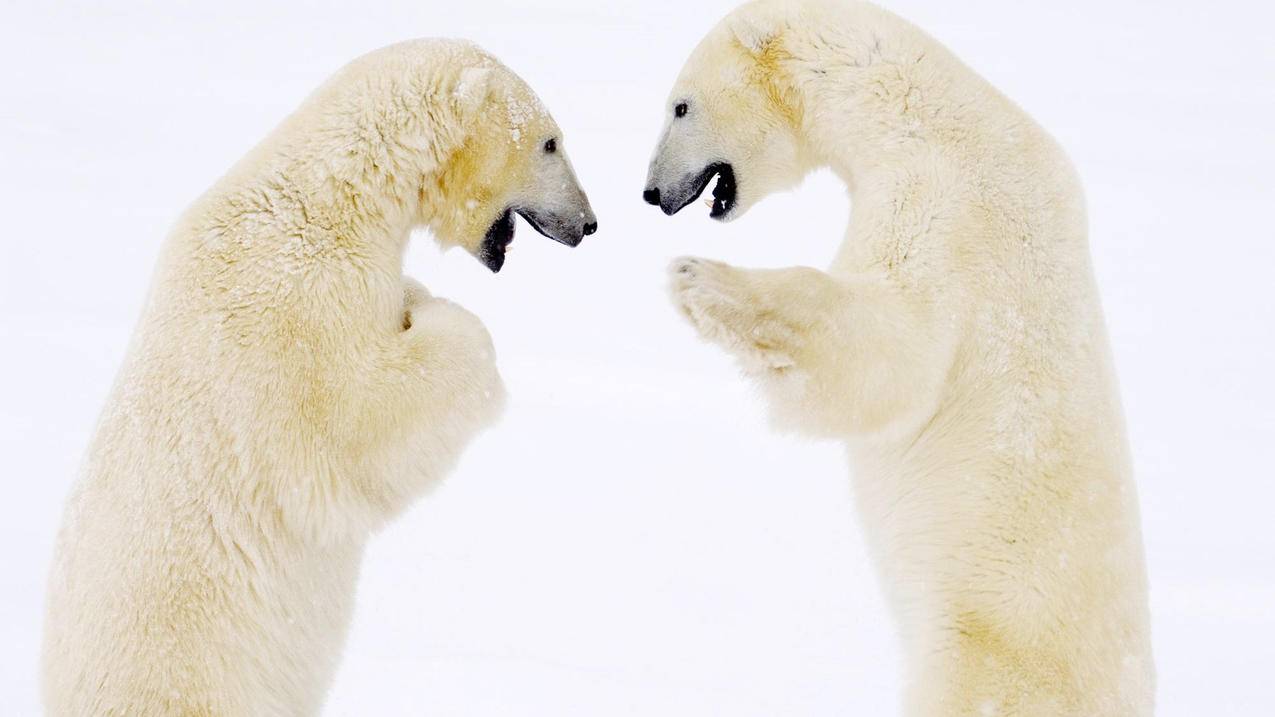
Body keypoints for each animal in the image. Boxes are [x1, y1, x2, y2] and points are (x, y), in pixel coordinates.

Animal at [42, 40, 594, 714]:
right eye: (550, 142)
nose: (588, 223)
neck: (333, 195)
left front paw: (415, 296)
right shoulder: (294, 302)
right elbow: (349, 430)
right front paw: (442, 319)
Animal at [647, 1, 1157, 714]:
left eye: (681, 106)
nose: (650, 193)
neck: (924, 113)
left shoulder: (949, 206)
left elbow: (894, 352)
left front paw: (700, 279)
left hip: (983, 653)